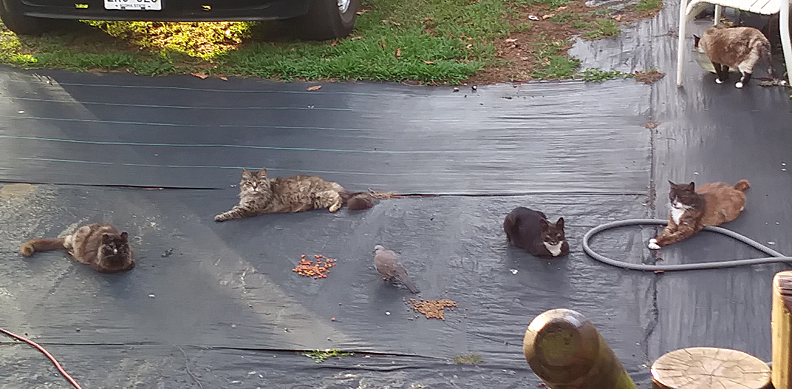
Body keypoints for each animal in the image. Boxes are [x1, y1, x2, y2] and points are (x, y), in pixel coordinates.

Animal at [215, 167, 394, 221]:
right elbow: (235, 206)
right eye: (249, 183)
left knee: (339, 198)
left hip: (320, 195)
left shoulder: (249, 209)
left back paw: (333, 208)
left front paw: (219, 216)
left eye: (258, 183)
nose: (253, 187)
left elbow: (231, 212)